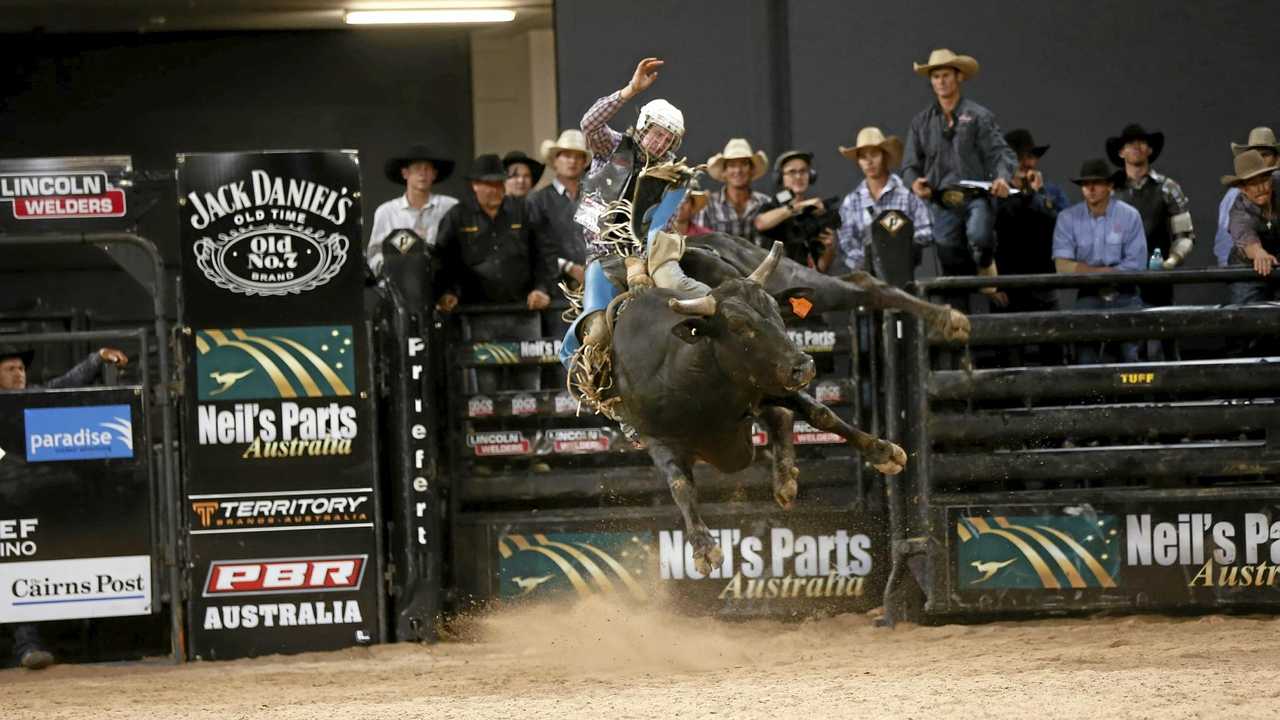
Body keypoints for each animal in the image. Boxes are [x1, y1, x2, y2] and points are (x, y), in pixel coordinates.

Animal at [586, 233, 962, 568]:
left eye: (776, 313)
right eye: (739, 326)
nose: (804, 365)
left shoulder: (771, 386)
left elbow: (821, 414)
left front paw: (884, 452)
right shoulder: (658, 439)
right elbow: (680, 484)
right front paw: (704, 547)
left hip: (792, 283)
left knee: (862, 284)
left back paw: (950, 319)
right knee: (779, 417)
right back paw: (784, 478)